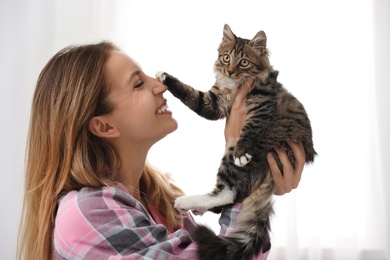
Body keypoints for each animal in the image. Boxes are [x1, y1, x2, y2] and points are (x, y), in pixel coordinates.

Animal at [156, 24, 316, 260]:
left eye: (243, 62)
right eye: (226, 57)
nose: (230, 71)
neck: (234, 85)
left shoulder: (260, 105)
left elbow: (248, 131)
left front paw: (242, 152)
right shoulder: (213, 102)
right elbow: (189, 94)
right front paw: (165, 77)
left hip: (235, 156)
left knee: (228, 192)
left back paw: (184, 201)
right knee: (230, 195)